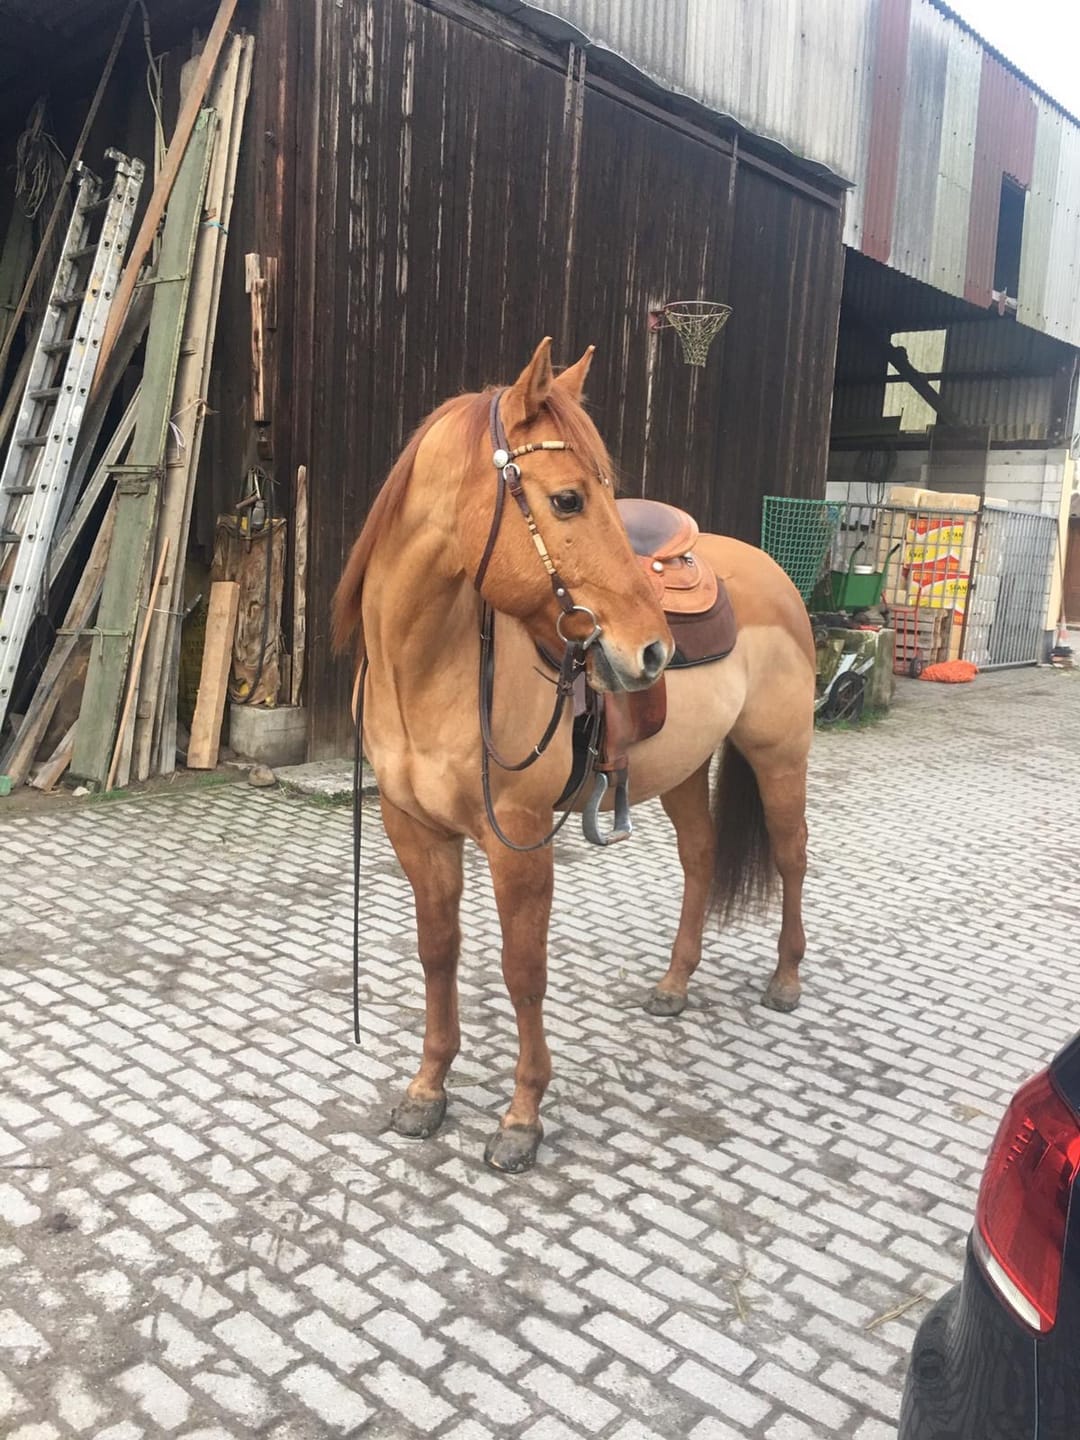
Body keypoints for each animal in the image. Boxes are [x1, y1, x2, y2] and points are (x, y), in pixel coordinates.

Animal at [332, 338, 815, 1173]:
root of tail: (771, 570)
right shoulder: (414, 831)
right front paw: (428, 1090)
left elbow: (523, 973)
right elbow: (438, 954)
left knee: (791, 857)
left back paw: (784, 979)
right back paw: (674, 984)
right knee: (700, 857)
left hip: (780, 758)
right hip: (683, 771)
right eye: (565, 501)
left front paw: (521, 1118)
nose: (651, 651)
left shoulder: (517, 839)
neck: (425, 670)